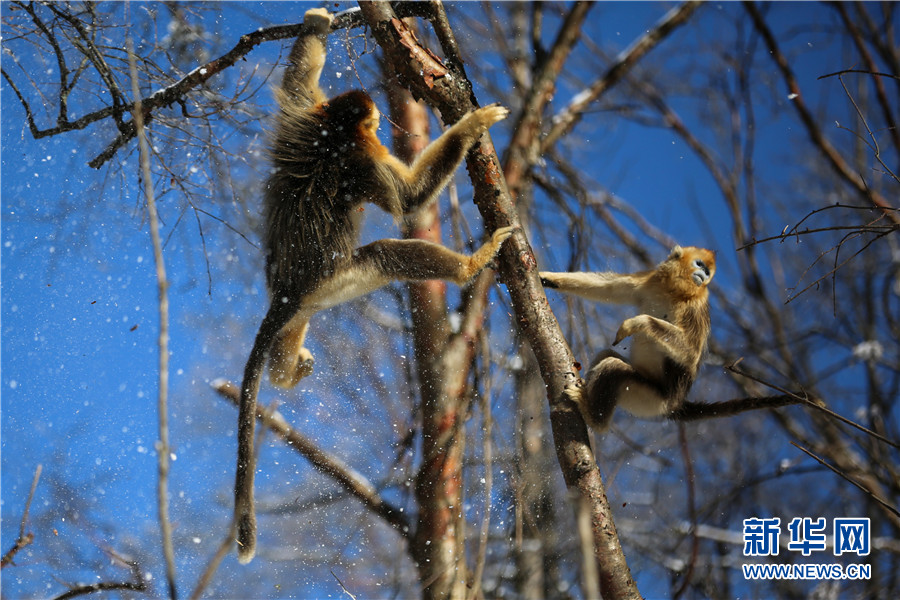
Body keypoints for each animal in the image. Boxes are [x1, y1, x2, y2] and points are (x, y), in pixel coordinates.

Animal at [232, 7, 512, 564]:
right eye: (375, 121)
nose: (382, 118)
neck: (333, 128)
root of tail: (290, 285)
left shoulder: (303, 114)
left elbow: (298, 82)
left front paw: (315, 23)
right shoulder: (362, 156)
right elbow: (409, 198)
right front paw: (471, 125)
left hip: (309, 297)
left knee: (294, 327)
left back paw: (284, 371)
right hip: (340, 278)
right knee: (385, 254)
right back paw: (470, 266)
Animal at [540, 246, 716, 434]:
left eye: (707, 272)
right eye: (700, 264)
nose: (704, 275)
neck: (672, 293)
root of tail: (674, 406)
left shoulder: (695, 307)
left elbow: (691, 355)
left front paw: (636, 323)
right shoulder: (649, 281)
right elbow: (607, 288)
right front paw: (546, 277)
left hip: (650, 400)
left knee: (614, 367)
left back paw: (594, 418)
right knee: (606, 354)